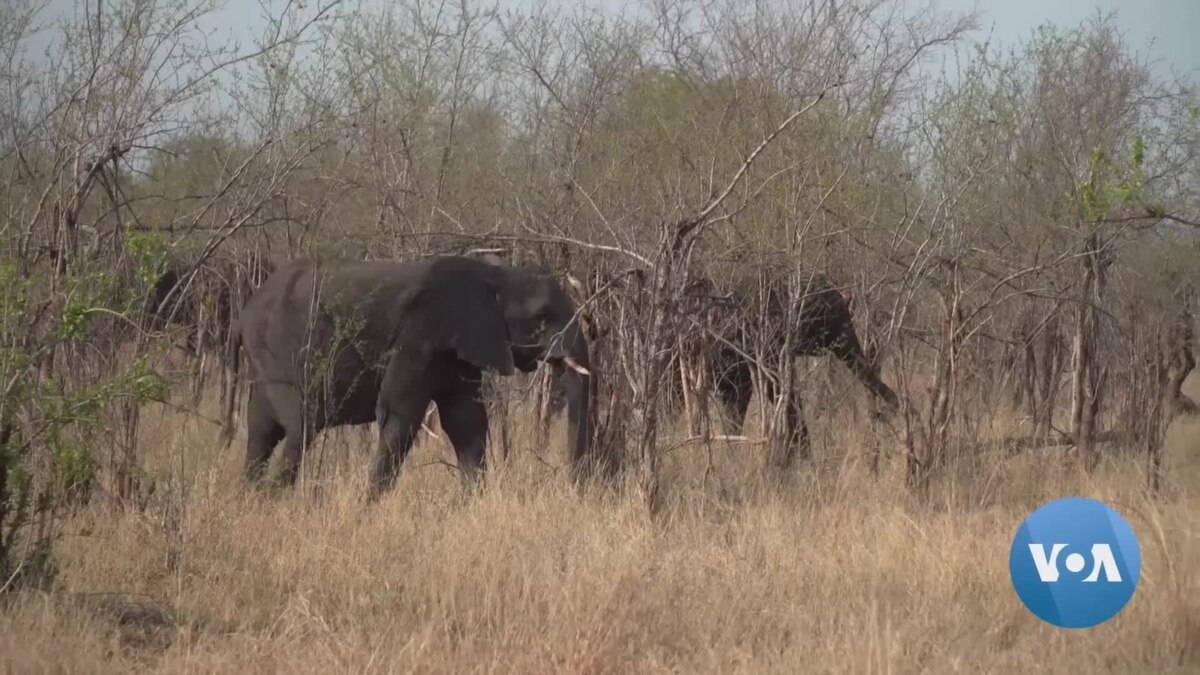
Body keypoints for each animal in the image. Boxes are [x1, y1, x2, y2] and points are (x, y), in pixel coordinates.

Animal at [230, 254, 593, 498]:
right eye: (542, 317)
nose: (575, 489)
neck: (497, 276)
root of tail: (243, 313)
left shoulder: (457, 350)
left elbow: (467, 423)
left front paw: (470, 504)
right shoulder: (417, 337)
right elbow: (399, 416)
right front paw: (366, 507)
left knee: (261, 431)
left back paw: (250, 497)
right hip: (276, 352)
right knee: (301, 425)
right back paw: (273, 499)